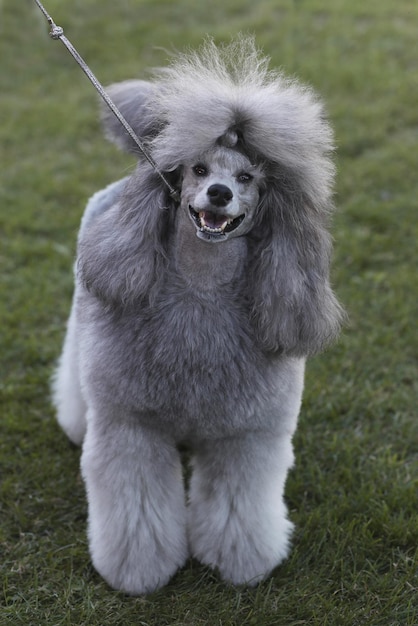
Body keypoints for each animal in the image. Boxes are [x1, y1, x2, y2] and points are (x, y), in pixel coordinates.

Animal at [52, 36, 342, 592]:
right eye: (199, 170)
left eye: (248, 177)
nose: (220, 194)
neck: (201, 291)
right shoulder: (131, 427)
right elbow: (138, 507)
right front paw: (138, 572)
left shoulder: (246, 436)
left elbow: (237, 505)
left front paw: (241, 563)